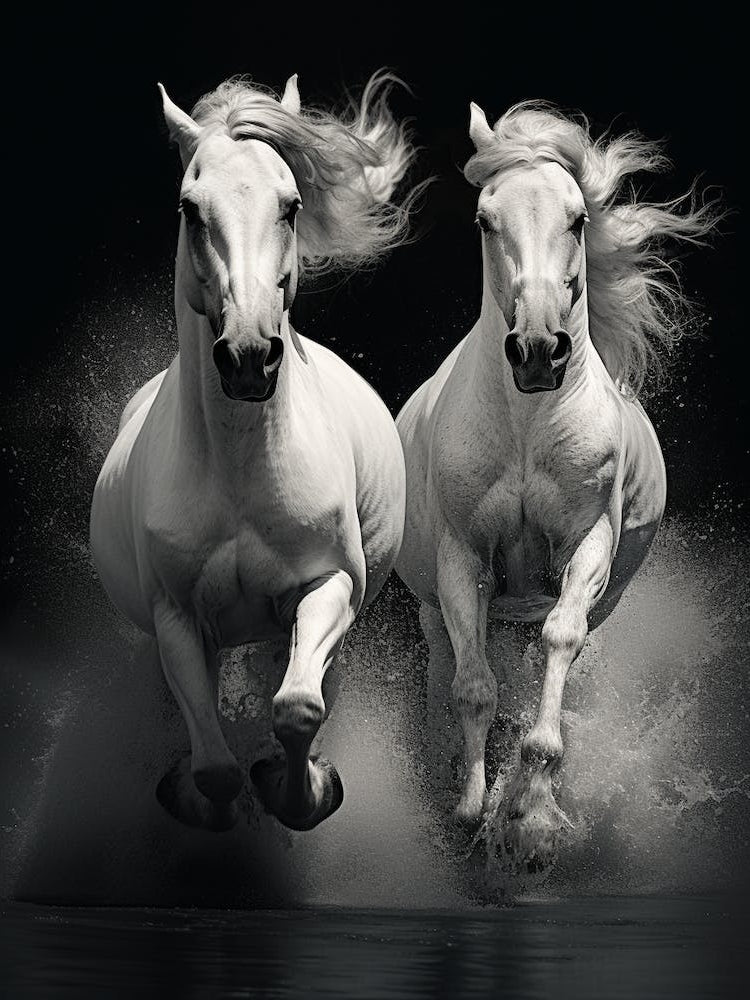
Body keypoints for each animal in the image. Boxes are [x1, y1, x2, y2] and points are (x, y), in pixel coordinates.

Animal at [90, 71, 417, 833]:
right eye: (189, 208)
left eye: (291, 205)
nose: (247, 356)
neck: (241, 470)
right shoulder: (176, 620)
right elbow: (212, 766)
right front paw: (198, 798)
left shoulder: (330, 586)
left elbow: (297, 709)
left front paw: (301, 789)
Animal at [395, 100, 717, 869]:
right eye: (485, 219)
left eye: (577, 218)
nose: (539, 350)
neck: (526, 425)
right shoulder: (462, 560)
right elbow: (473, 690)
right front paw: (471, 810)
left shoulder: (586, 546)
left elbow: (559, 643)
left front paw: (532, 817)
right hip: (433, 608)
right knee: (449, 672)